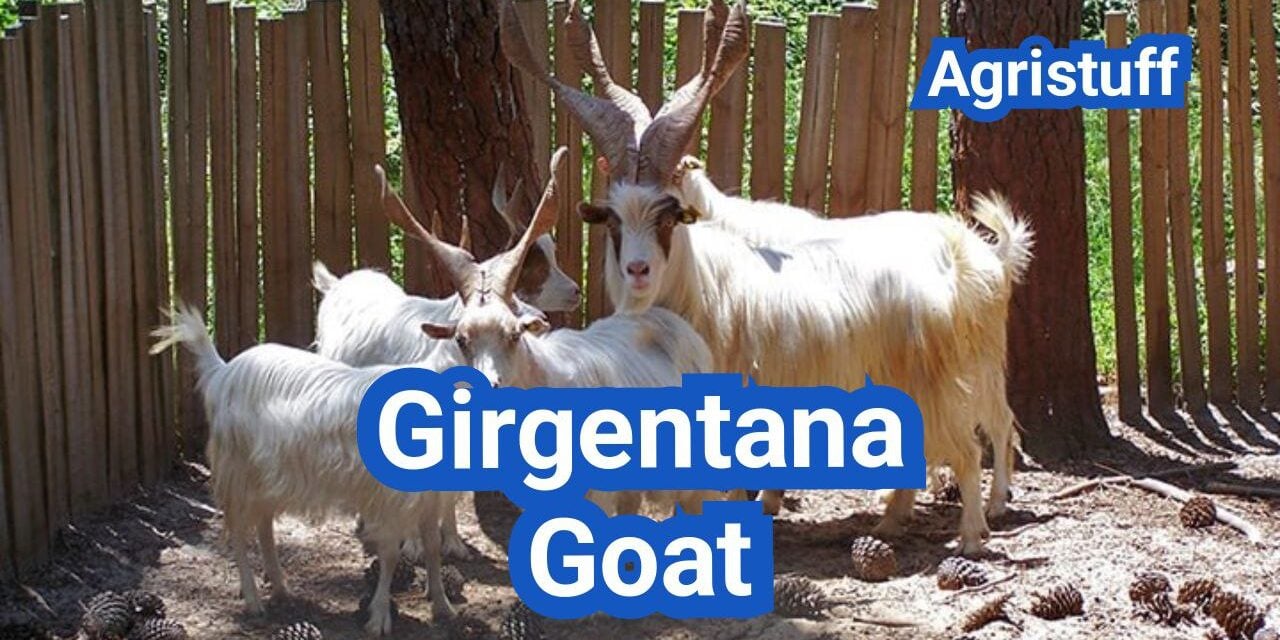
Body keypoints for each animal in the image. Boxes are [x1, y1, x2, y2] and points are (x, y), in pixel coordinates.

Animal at [150, 310, 457, 636]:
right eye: (461, 338)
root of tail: (223, 372)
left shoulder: (429, 496)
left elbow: (433, 548)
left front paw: (442, 606)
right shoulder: (387, 500)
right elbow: (389, 554)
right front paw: (379, 618)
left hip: (267, 477)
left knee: (264, 526)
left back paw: (280, 587)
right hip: (238, 473)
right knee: (238, 533)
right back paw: (253, 600)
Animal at [502, 0, 1033, 555]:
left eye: (669, 217)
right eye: (612, 220)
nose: (639, 270)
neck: (704, 289)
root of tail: (972, 254)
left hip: (941, 377)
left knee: (973, 444)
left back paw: (974, 532)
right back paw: (892, 522)